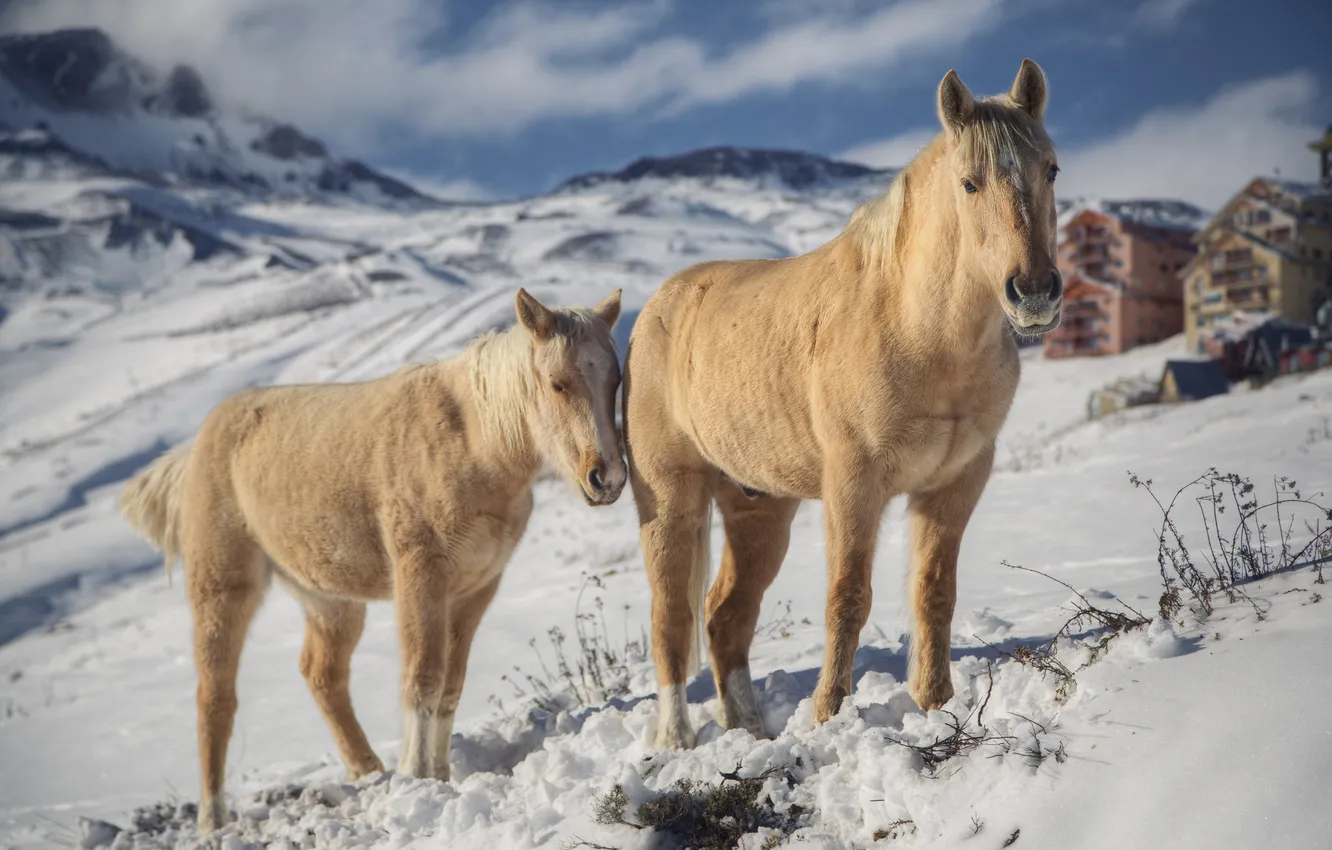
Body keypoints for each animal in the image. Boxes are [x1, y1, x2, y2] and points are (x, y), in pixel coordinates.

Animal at [121, 290, 628, 836]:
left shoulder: (474, 590)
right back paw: (213, 821)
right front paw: (418, 776)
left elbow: (450, 685)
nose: (608, 478)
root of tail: (199, 445)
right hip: (222, 590)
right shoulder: (421, 579)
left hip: (329, 600)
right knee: (215, 698)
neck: (471, 443)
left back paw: (367, 772)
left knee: (322, 675)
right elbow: (422, 678)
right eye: (557, 383)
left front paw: (438, 775)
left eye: (615, 380)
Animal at [620, 61, 1060, 751]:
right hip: (670, 501)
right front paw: (828, 715)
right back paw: (675, 740)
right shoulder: (855, 482)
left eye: (1051, 170)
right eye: (969, 182)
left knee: (724, 617)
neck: (917, 328)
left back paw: (750, 731)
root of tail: (654, 312)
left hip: (758, 508)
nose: (1035, 293)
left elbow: (934, 592)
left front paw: (935, 705)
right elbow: (848, 597)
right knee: (672, 617)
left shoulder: (955, 482)